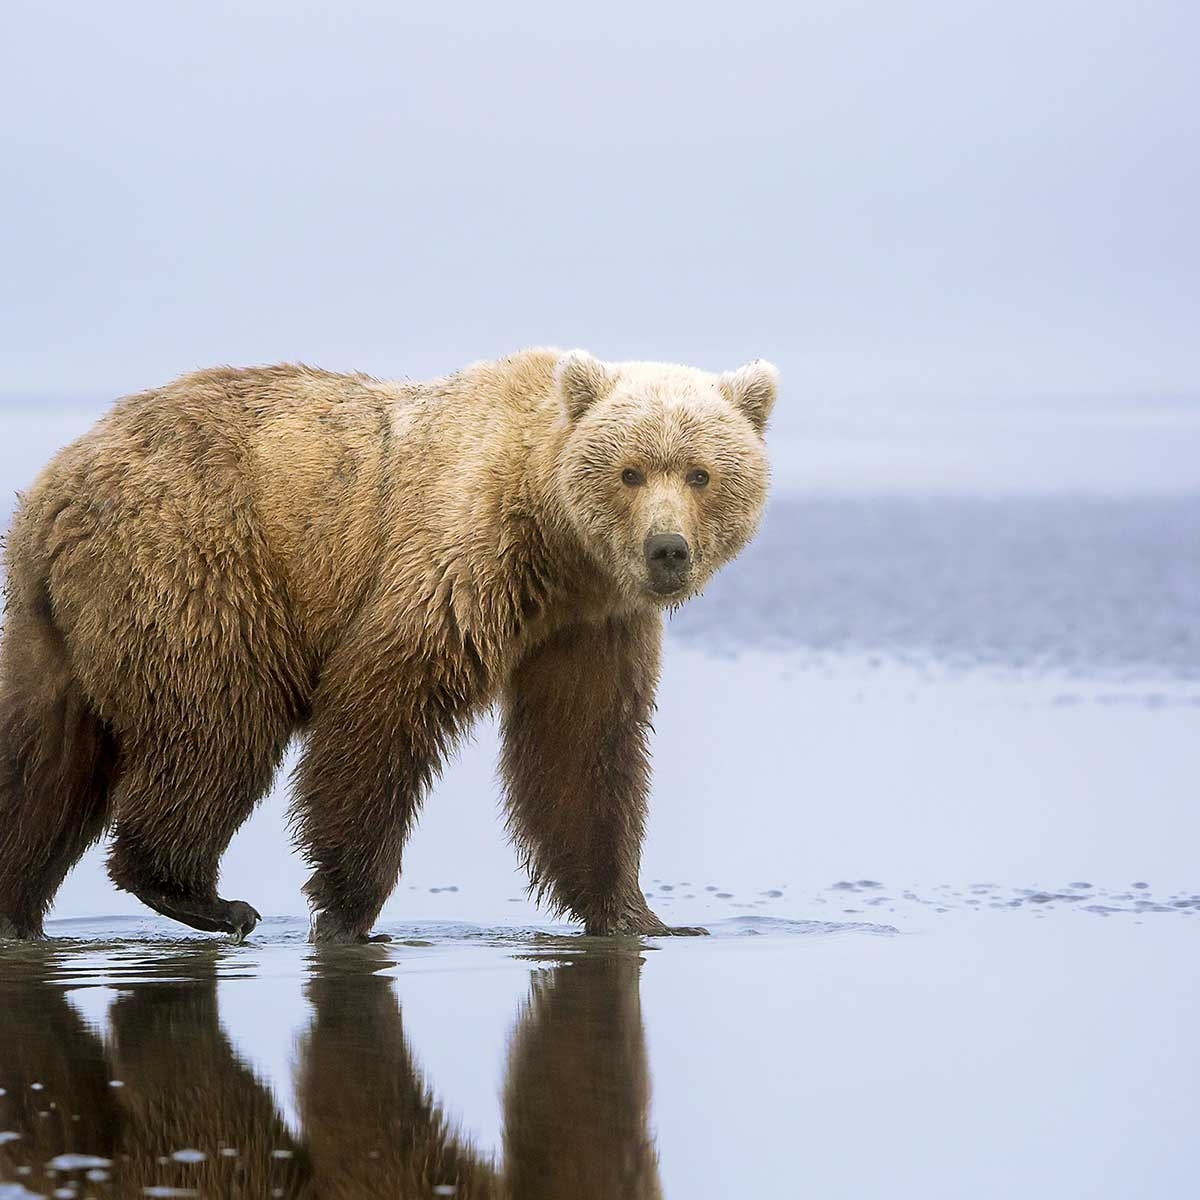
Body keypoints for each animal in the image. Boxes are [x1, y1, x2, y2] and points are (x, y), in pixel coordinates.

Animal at [0, 350, 777, 940]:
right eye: (630, 471)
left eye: (701, 473)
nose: (667, 549)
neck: (556, 548)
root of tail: (56, 485)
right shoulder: (459, 560)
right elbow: (381, 709)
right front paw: (347, 907)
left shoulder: (590, 627)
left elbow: (584, 752)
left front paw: (642, 915)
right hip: (197, 562)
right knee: (218, 722)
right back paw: (205, 896)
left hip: (54, 627)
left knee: (43, 760)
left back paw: (19, 905)